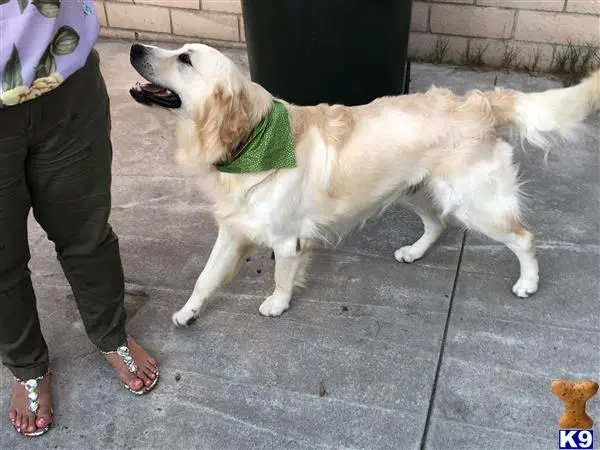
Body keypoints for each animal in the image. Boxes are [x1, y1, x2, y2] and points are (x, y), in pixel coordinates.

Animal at [129, 42, 596, 326]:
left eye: (185, 60)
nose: (136, 47)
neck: (250, 142)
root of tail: (479, 103)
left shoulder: (287, 240)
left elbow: (281, 275)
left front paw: (277, 304)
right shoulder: (232, 229)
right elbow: (204, 277)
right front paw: (189, 311)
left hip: (475, 203)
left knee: (523, 237)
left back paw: (528, 283)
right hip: (413, 191)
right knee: (438, 224)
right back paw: (414, 251)